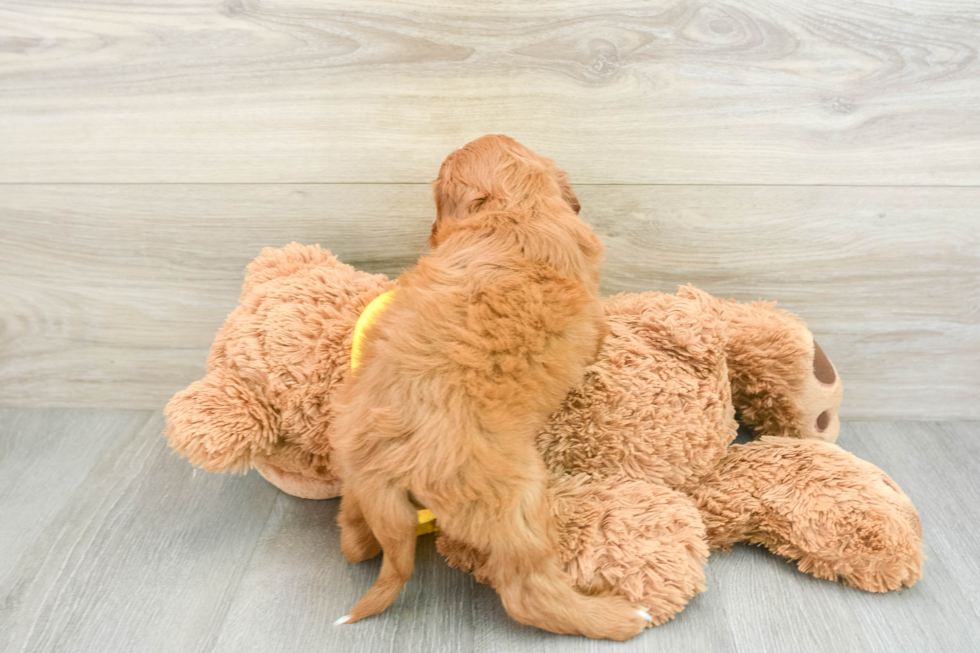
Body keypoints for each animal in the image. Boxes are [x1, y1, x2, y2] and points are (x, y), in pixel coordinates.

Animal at [332, 135, 652, 640]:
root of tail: (384, 465)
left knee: (353, 536)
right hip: (515, 501)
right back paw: (619, 617)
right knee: (528, 593)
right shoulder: (593, 314)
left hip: (353, 472)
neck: (515, 210)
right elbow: (601, 330)